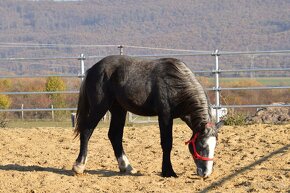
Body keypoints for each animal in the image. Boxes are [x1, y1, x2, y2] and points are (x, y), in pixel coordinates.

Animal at [72, 55, 222, 177]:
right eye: (202, 145)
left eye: (215, 146)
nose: (206, 173)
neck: (175, 83)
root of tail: (93, 69)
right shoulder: (165, 116)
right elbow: (167, 143)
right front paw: (168, 171)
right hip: (99, 108)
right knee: (86, 131)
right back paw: (79, 166)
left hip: (119, 110)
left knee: (114, 135)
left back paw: (126, 167)